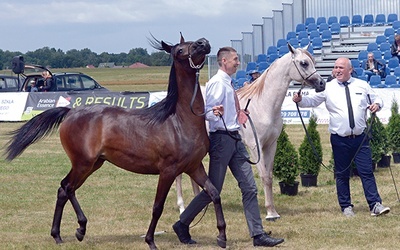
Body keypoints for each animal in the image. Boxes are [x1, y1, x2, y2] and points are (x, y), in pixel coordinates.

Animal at [4, 35, 227, 250]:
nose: (203, 42)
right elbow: (157, 207)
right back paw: (78, 229)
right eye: (180, 50)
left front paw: (222, 236)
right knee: (66, 187)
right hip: (83, 163)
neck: (178, 121)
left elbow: (214, 193)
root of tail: (71, 111)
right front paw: (150, 241)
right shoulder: (168, 171)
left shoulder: (194, 167)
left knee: (65, 190)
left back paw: (61, 234)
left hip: (94, 164)